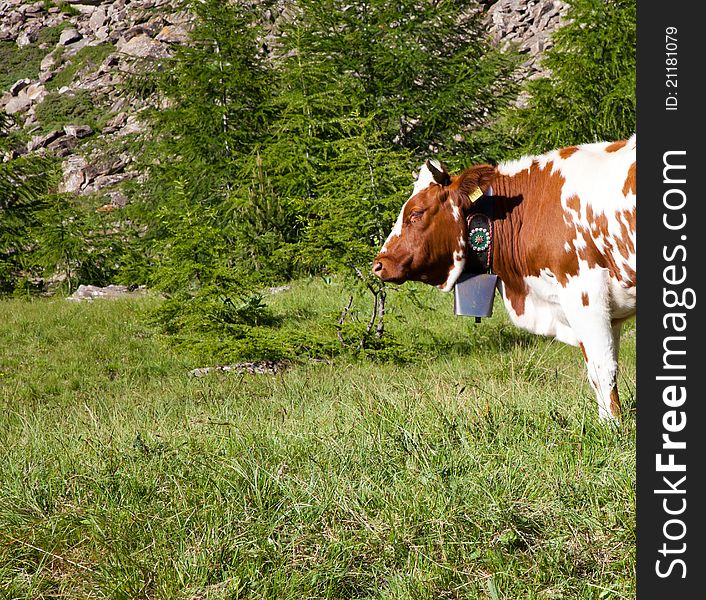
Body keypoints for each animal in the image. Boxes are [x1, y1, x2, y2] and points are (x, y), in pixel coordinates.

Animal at [372, 135, 636, 422]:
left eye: (416, 213)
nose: (379, 264)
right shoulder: (611, 312)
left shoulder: (583, 290)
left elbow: (601, 369)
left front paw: (611, 426)